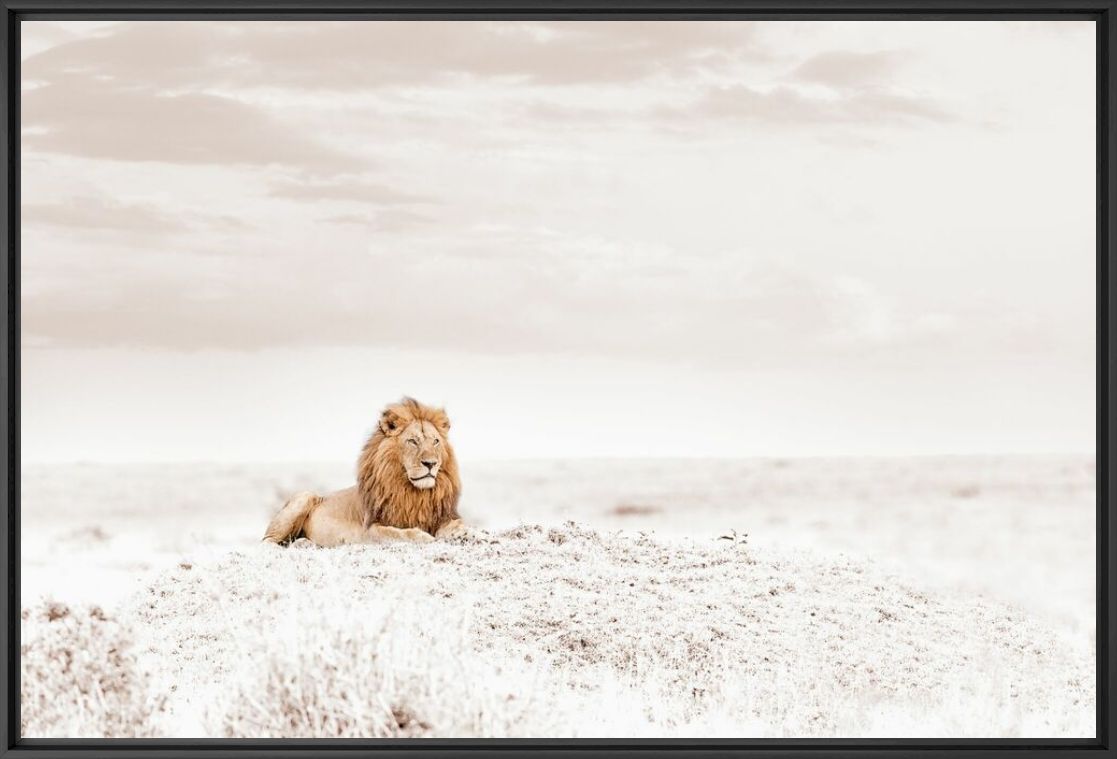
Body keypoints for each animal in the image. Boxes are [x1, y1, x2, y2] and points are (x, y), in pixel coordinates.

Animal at [263, 398, 466, 546]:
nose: (431, 463)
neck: (413, 493)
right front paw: (423, 536)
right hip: (304, 496)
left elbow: (457, 524)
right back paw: (302, 543)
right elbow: (398, 533)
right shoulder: (369, 530)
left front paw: (463, 532)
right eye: (413, 441)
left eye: (435, 441)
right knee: (268, 542)